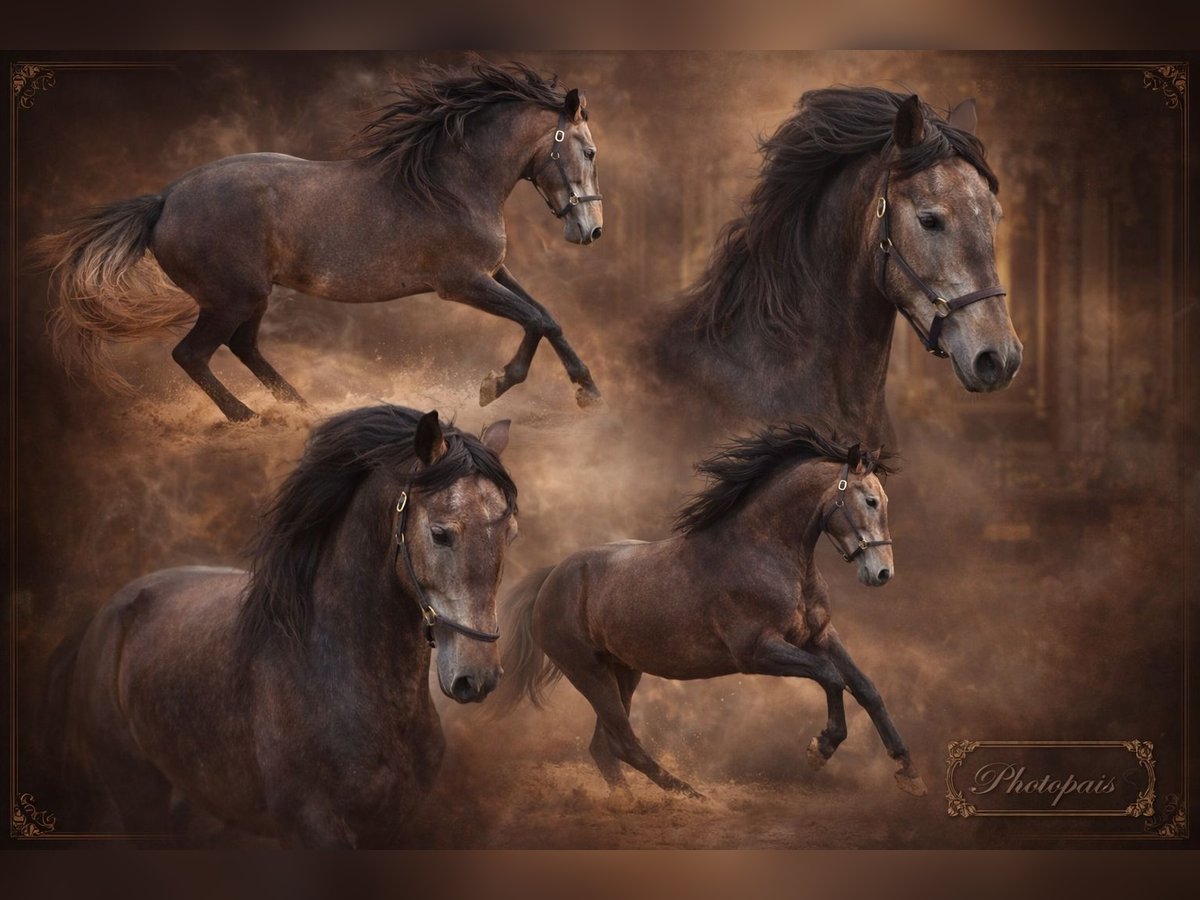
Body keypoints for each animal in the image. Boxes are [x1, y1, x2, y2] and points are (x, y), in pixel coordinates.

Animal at [34, 60, 604, 421]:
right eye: (590, 152)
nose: (591, 230)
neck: (451, 182)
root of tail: (165, 201)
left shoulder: (493, 272)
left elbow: (545, 316)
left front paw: (579, 390)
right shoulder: (462, 283)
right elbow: (536, 319)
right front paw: (504, 386)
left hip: (251, 297)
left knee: (243, 346)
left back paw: (302, 410)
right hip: (231, 298)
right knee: (191, 354)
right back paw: (247, 416)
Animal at [49, 405, 518, 847]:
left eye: (510, 533)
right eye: (441, 534)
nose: (477, 677)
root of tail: (107, 615)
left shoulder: (389, 827)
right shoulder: (312, 826)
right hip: (137, 791)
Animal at [495, 423, 927, 799]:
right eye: (870, 500)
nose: (882, 572)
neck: (763, 553)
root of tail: (551, 578)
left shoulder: (819, 635)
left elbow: (866, 688)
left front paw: (908, 771)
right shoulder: (758, 652)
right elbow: (832, 677)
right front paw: (820, 748)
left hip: (623, 671)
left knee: (605, 747)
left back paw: (631, 801)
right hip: (589, 672)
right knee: (625, 744)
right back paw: (689, 796)